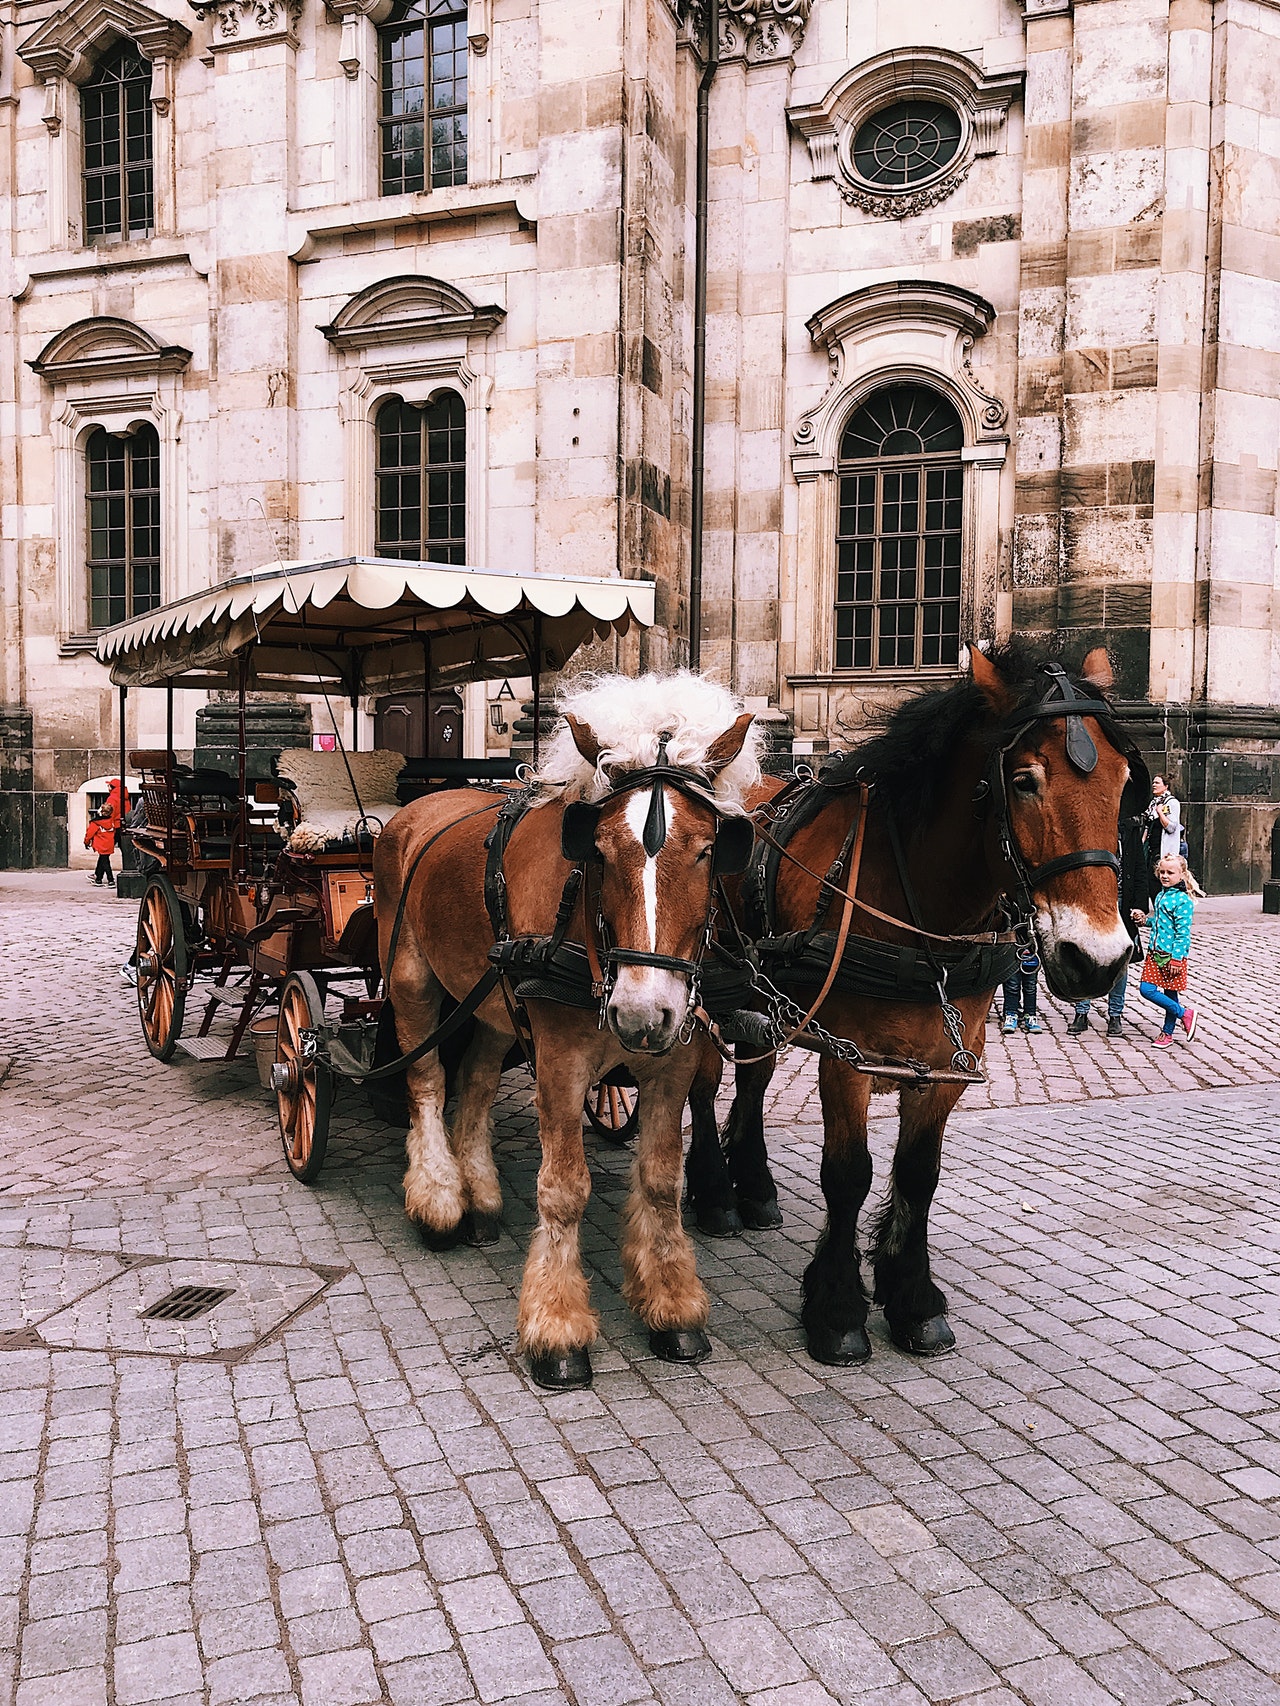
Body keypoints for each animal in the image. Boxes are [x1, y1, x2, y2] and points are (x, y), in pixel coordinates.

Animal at [372, 672, 760, 1390]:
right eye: (600, 851)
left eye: (707, 850)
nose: (641, 1013)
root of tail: (415, 810)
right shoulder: (559, 1057)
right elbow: (564, 1188)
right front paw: (556, 1326)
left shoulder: (675, 1059)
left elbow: (661, 1178)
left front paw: (671, 1304)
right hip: (411, 976)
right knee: (427, 1080)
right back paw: (440, 1197)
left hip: (495, 1001)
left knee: (476, 1079)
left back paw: (481, 1197)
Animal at [683, 642, 1141, 1367]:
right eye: (1024, 780)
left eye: (1124, 782)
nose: (1096, 959)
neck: (919, 908)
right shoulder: (847, 1057)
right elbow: (849, 1174)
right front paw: (838, 1309)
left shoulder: (949, 1057)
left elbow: (918, 1172)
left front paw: (913, 1298)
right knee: (702, 1089)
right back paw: (716, 1195)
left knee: (753, 1079)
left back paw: (752, 1188)